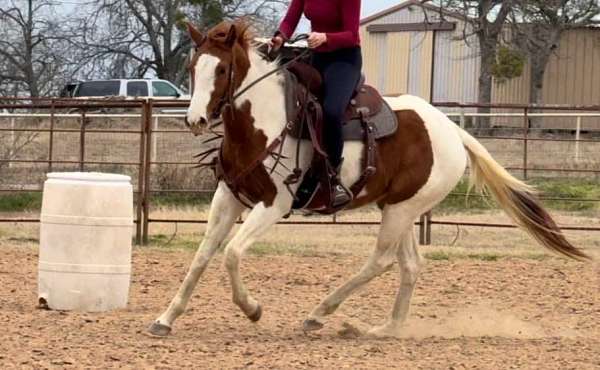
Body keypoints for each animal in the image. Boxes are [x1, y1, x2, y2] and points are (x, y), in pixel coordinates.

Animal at [148, 20, 588, 338]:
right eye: (193, 67)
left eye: (223, 68)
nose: (195, 120)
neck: (266, 120)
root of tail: (451, 130)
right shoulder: (229, 195)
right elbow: (203, 255)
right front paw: (165, 319)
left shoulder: (274, 204)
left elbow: (232, 254)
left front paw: (253, 309)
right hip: (400, 207)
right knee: (410, 265)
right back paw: (384, 329)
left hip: (401, 211)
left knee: (381, 261)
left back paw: (319, 315)